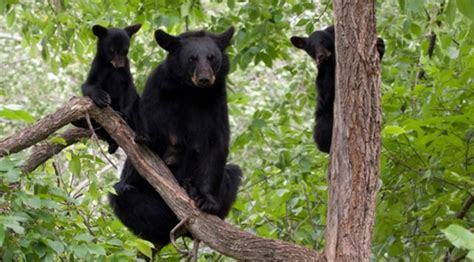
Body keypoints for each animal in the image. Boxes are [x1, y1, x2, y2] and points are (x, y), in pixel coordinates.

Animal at [75, 24, 144, 154]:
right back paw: (112, 144)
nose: (120, 65)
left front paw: (125, 114)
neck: (112, 67)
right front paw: (102, 97)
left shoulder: (125, 72)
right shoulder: (99, 66)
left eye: (125, 50)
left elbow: (129, 89)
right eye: (112, 50)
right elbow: (88, 85)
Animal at [109, 26, 243, 248]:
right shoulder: (157, 91)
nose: (205, 79)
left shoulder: (216, 99)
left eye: (212, 57)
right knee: (121, 192)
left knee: (233, 172)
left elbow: (216, 143)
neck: (191, 91)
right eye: (192, 58)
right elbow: (147, 139)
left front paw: (206, 200)